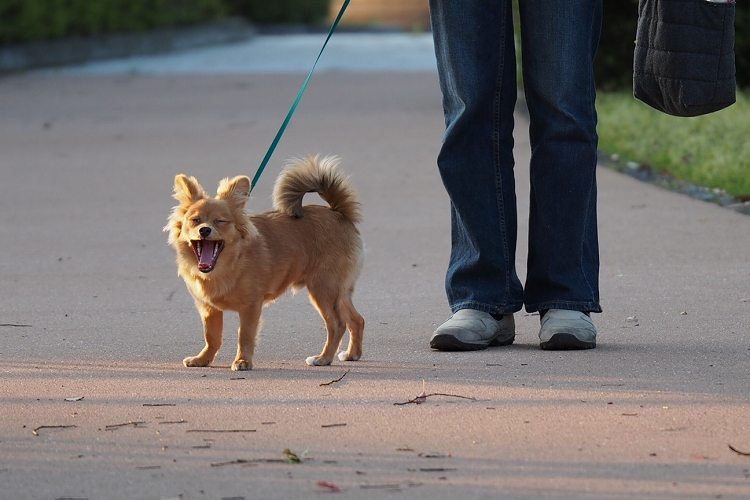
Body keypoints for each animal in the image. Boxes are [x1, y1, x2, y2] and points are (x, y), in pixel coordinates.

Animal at [166, 156, 366, 372]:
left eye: (220, 221)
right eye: (195, 220)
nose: (204, 230)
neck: (225, 267)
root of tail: (338, 213)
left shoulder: (251, 307)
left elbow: (244, 335)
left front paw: (242, 361)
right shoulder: (209, 309)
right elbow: (212, 337)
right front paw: (203, 359)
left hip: (323, 289)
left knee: (337, 324)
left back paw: (323, 358)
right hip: (338, 291)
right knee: (357, 320)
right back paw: (352, 354)